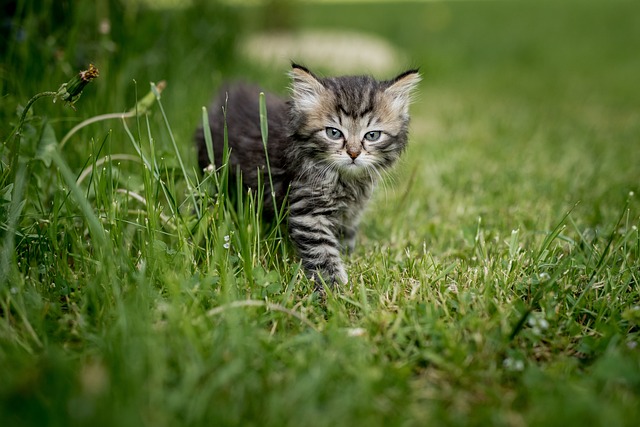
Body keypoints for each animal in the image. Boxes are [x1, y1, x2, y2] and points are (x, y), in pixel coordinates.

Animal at [195, 63, 420, 288]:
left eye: (372, 135)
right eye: (334, 133)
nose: (354, 153)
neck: (346, 180)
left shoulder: (351, 212)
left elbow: (346, 236)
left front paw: (349, 259)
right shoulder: (309, 211)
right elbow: (322, 251)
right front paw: (334, 286)